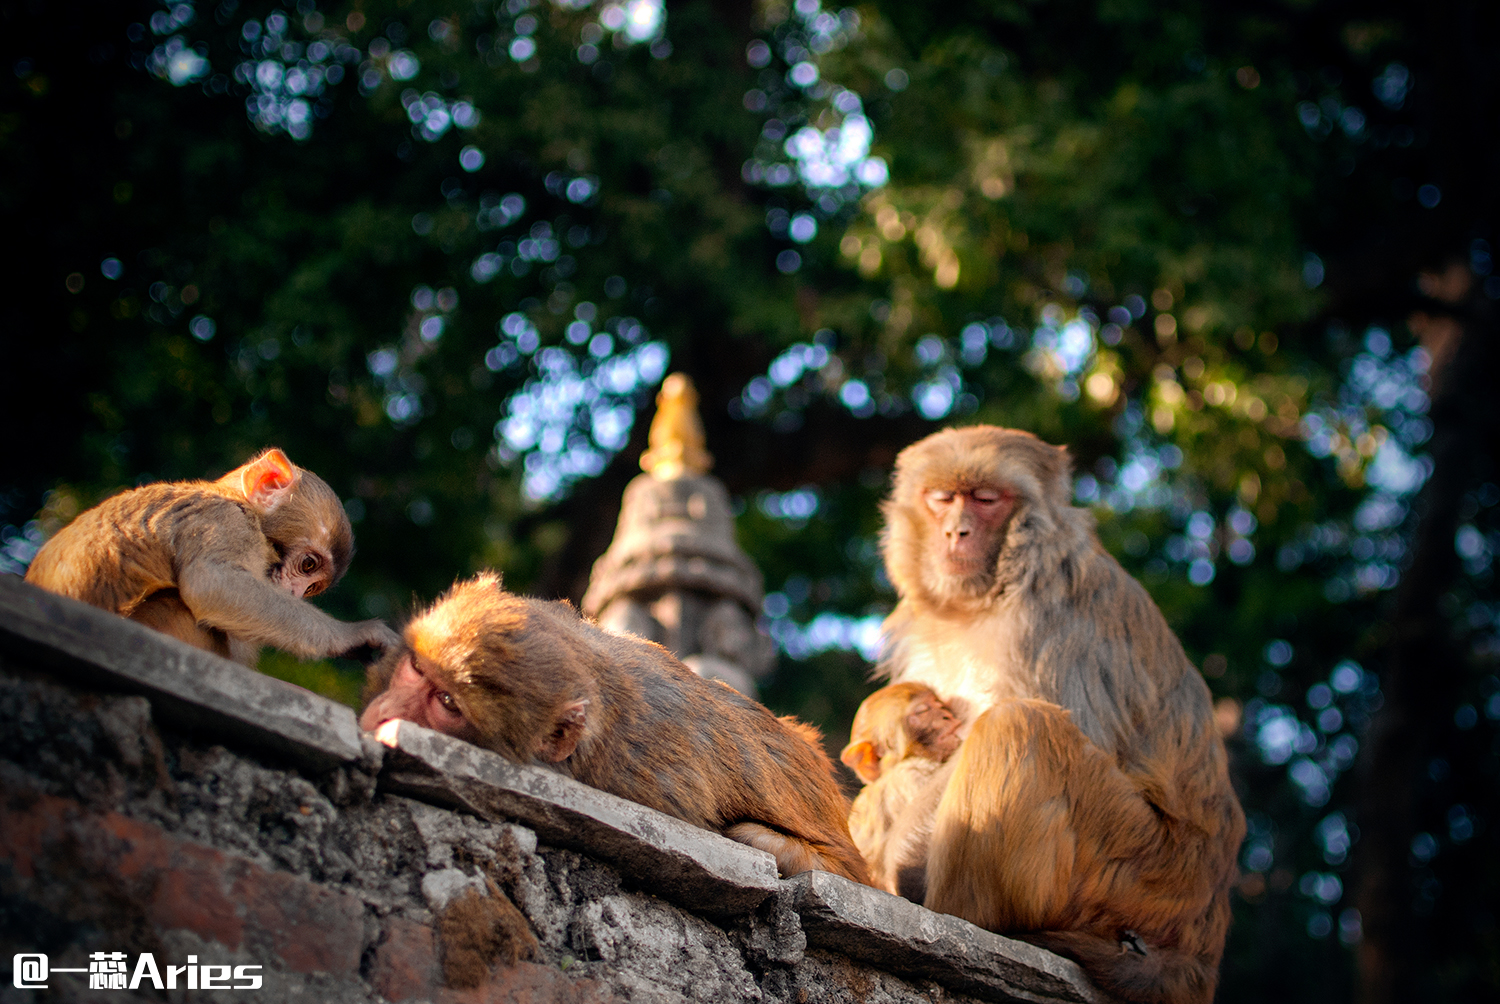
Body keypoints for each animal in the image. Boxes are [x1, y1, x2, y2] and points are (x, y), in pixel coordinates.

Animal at [25, 447, 399, 666]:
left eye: (310, 589)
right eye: (308, 564)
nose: (294, 594)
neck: (232, 498)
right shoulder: (225, 522)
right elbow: (212, 583)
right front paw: (351, 635)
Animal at [876, 426, 1248, 1002]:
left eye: (986, 500)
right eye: (941, 497)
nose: (957, 532)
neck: (984, 601)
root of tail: (1198, 949)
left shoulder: (1046, 621)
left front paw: (892, 856)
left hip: (1139, 874)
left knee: (1021, 726)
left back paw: (964, 920)